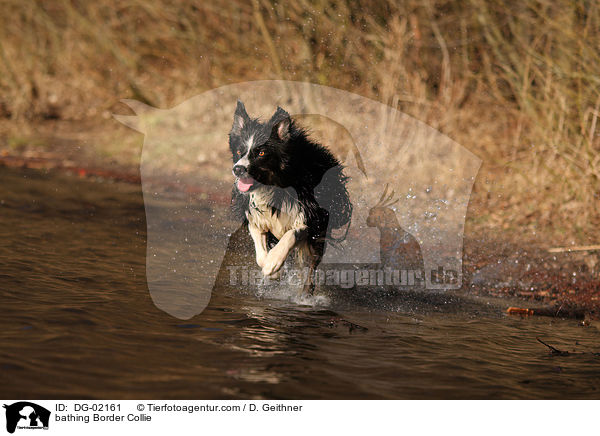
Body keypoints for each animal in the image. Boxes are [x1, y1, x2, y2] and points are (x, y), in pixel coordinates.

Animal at [229, 101, 352, 292]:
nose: (238, 169)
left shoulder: (310, 215)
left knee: (312, 263)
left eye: (261, 153)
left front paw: (273, 261)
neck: (275, 187)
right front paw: (273, 269)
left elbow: (291, 235)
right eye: (238, 151)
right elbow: (259, 248)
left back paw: (307, 291)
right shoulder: (254, 215)